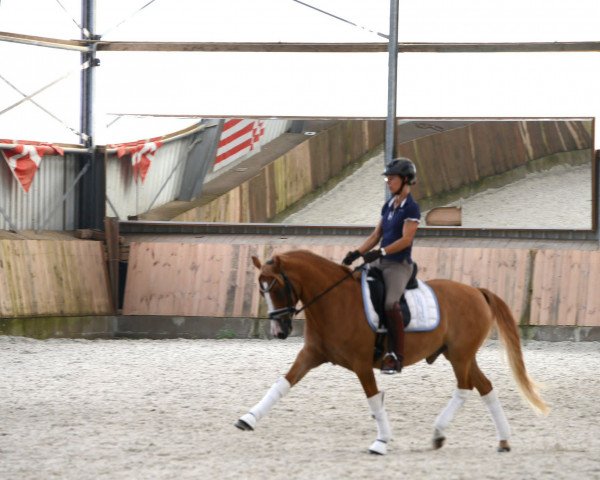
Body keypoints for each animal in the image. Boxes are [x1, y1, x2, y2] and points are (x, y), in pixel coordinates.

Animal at [234, 249, 548, 456]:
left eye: (276, 287)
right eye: (260, 290)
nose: (279, 331)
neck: (334, 301)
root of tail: (476, 291)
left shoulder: (361, 364)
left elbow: (374, 399)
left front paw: (381, 442)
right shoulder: (311, 355)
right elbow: (282, 384)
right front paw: (247, 419)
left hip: (460, 355)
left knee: (465, 388)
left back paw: (440, 432)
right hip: (459, 354)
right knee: (484, 387)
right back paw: (500, 440)